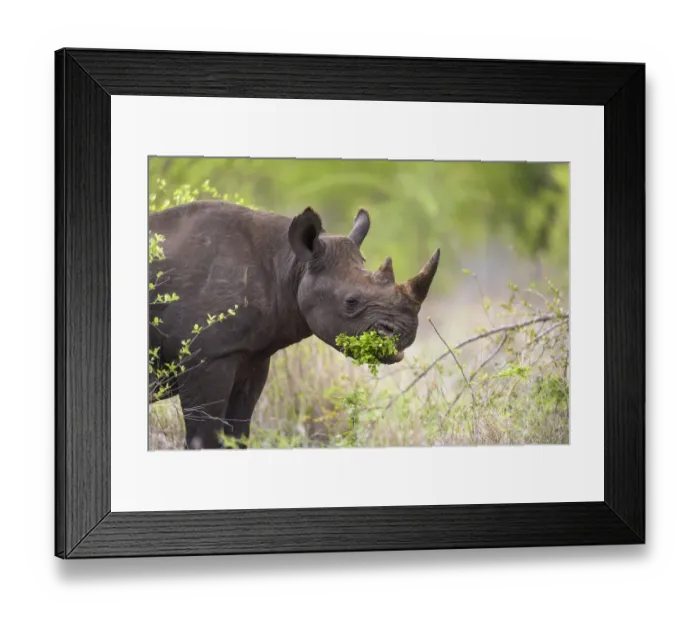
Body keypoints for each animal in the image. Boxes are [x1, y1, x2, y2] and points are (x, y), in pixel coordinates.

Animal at [148, 200, 440, 449]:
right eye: (351, 302)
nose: (406, 333)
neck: (289, 264)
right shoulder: (206, 357)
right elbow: (204, 438)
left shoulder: (250, 356)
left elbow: (236, 434)